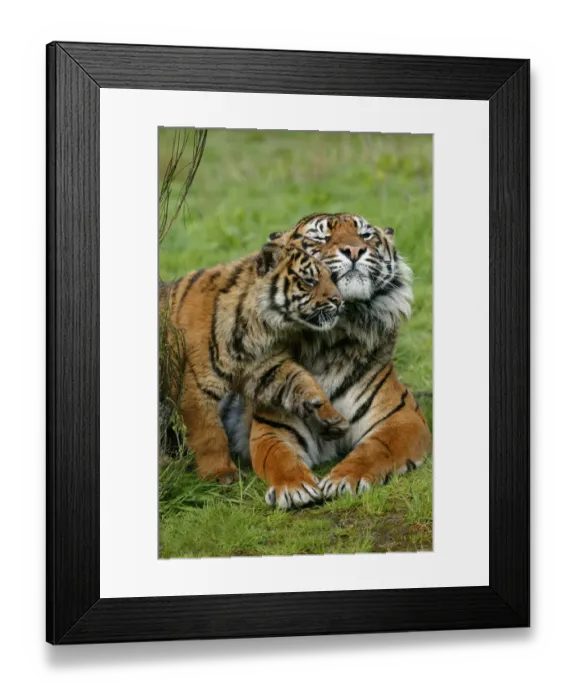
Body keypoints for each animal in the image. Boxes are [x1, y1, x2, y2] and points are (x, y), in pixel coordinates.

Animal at [161, 241, 350, 490]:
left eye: (331, 277)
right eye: (309, 280)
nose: (340, 301)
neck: (260, 328)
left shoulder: (268, 368)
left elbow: (304, 380)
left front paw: (329, 416)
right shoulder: (197, 386)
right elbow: (210, 434)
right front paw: (221, 473)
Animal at [222, 213, 432, 509]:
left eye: (366, 235)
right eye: (320, 237)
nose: (354, 250)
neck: (330, 338)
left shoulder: (403, 417)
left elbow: (375, 449)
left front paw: (344, 480)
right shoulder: (273, 428)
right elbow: (279, 458)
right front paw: (294, 488)